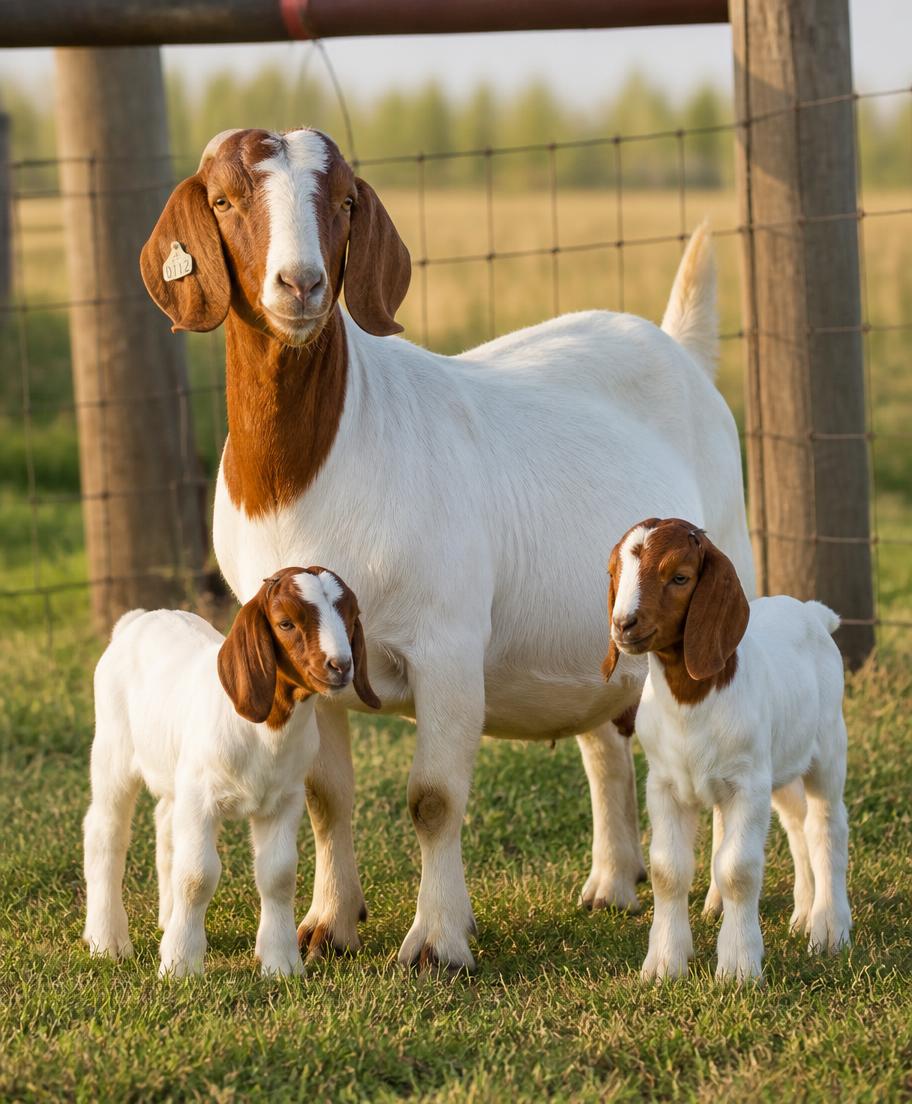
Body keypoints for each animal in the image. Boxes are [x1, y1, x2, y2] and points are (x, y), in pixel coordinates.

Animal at [83, 567, 379, 977]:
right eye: (286, 623)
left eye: (351, 617)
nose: (340, 666)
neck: (265, 732)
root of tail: (137, 619)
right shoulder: (201, 798)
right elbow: (197, 875)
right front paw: (181, 964)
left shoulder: (284, 799)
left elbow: (278, 874)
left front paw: (281, 963)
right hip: (114, 747)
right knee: (105, 831)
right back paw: (107, 941)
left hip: (177, 771)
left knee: (165, 822)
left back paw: (167, 919)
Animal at [140, 126, 755, 972]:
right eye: (227, 200)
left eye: (343, 202)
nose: (300, 285)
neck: (318, 464)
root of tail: (682, 351)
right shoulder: (305, 659)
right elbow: (327, 797)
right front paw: (329, 925)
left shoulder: (449, 644)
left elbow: (433, 799)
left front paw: (437, 941)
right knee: (604, 738)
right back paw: (611, 881)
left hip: (729, 560)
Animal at [603, 518, 852, 982]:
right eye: (614, 573)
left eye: (680, 577)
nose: (623, 624)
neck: (691, 700)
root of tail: (812, 612)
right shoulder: (664, 783)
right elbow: (667, 869)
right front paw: (664, 963)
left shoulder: (747, 784)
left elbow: (738, 869)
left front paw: (738, 966)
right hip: (779, 764)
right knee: (796, 825)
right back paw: (803, 914)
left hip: (827, 746)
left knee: (826, 825)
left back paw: (829, 928)